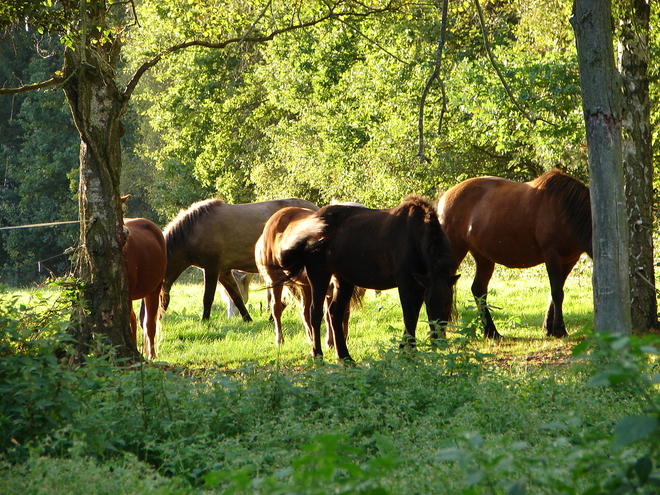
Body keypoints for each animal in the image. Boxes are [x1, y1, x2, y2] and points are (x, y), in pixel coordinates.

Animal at [159, 198, 316, 322]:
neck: (194, 230)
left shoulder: (211, 269)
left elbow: (207, 298)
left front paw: (205, 321)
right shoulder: (223, 272)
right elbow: (237, 297)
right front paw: (247, 319)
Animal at [276, 196, 456, 362]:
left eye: (448, 304)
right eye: (430, 305)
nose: (439, 341)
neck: (415, 236)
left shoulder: (420, 285)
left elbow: (413, 316)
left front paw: (405, 349)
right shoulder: (405, 282)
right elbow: (409, 317)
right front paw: (409, 352)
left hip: (343, 280)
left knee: (334, 313)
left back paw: (345, 357)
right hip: (319, 274)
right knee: (315, 313)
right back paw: (317, 355)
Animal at [438, 169, 592, 340]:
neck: (566, 210)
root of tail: (444, 198)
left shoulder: (569, 260)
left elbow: (555, 293)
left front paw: (549, 328)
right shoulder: (552, 256)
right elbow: (557, 293)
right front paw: (559, 330)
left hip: (483, 257)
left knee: (479, 290)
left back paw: (491, 332)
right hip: (456, 251)